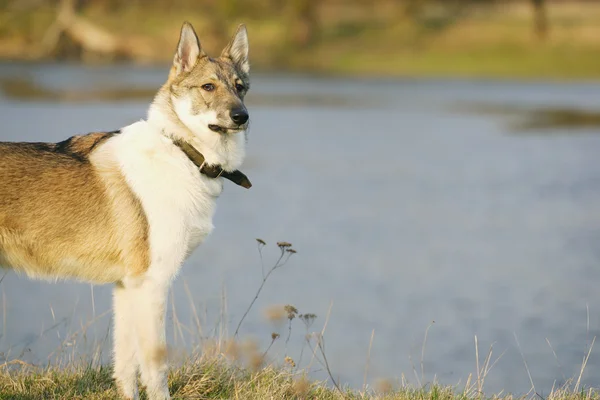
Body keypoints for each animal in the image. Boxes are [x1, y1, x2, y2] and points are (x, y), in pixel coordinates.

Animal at [0, 22, 251, 400]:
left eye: (240, 88)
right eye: (208, 86)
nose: (242, 117)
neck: (182, 151)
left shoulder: (127, 286)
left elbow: (126, 367)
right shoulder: (153, 285)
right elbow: (155, 369)